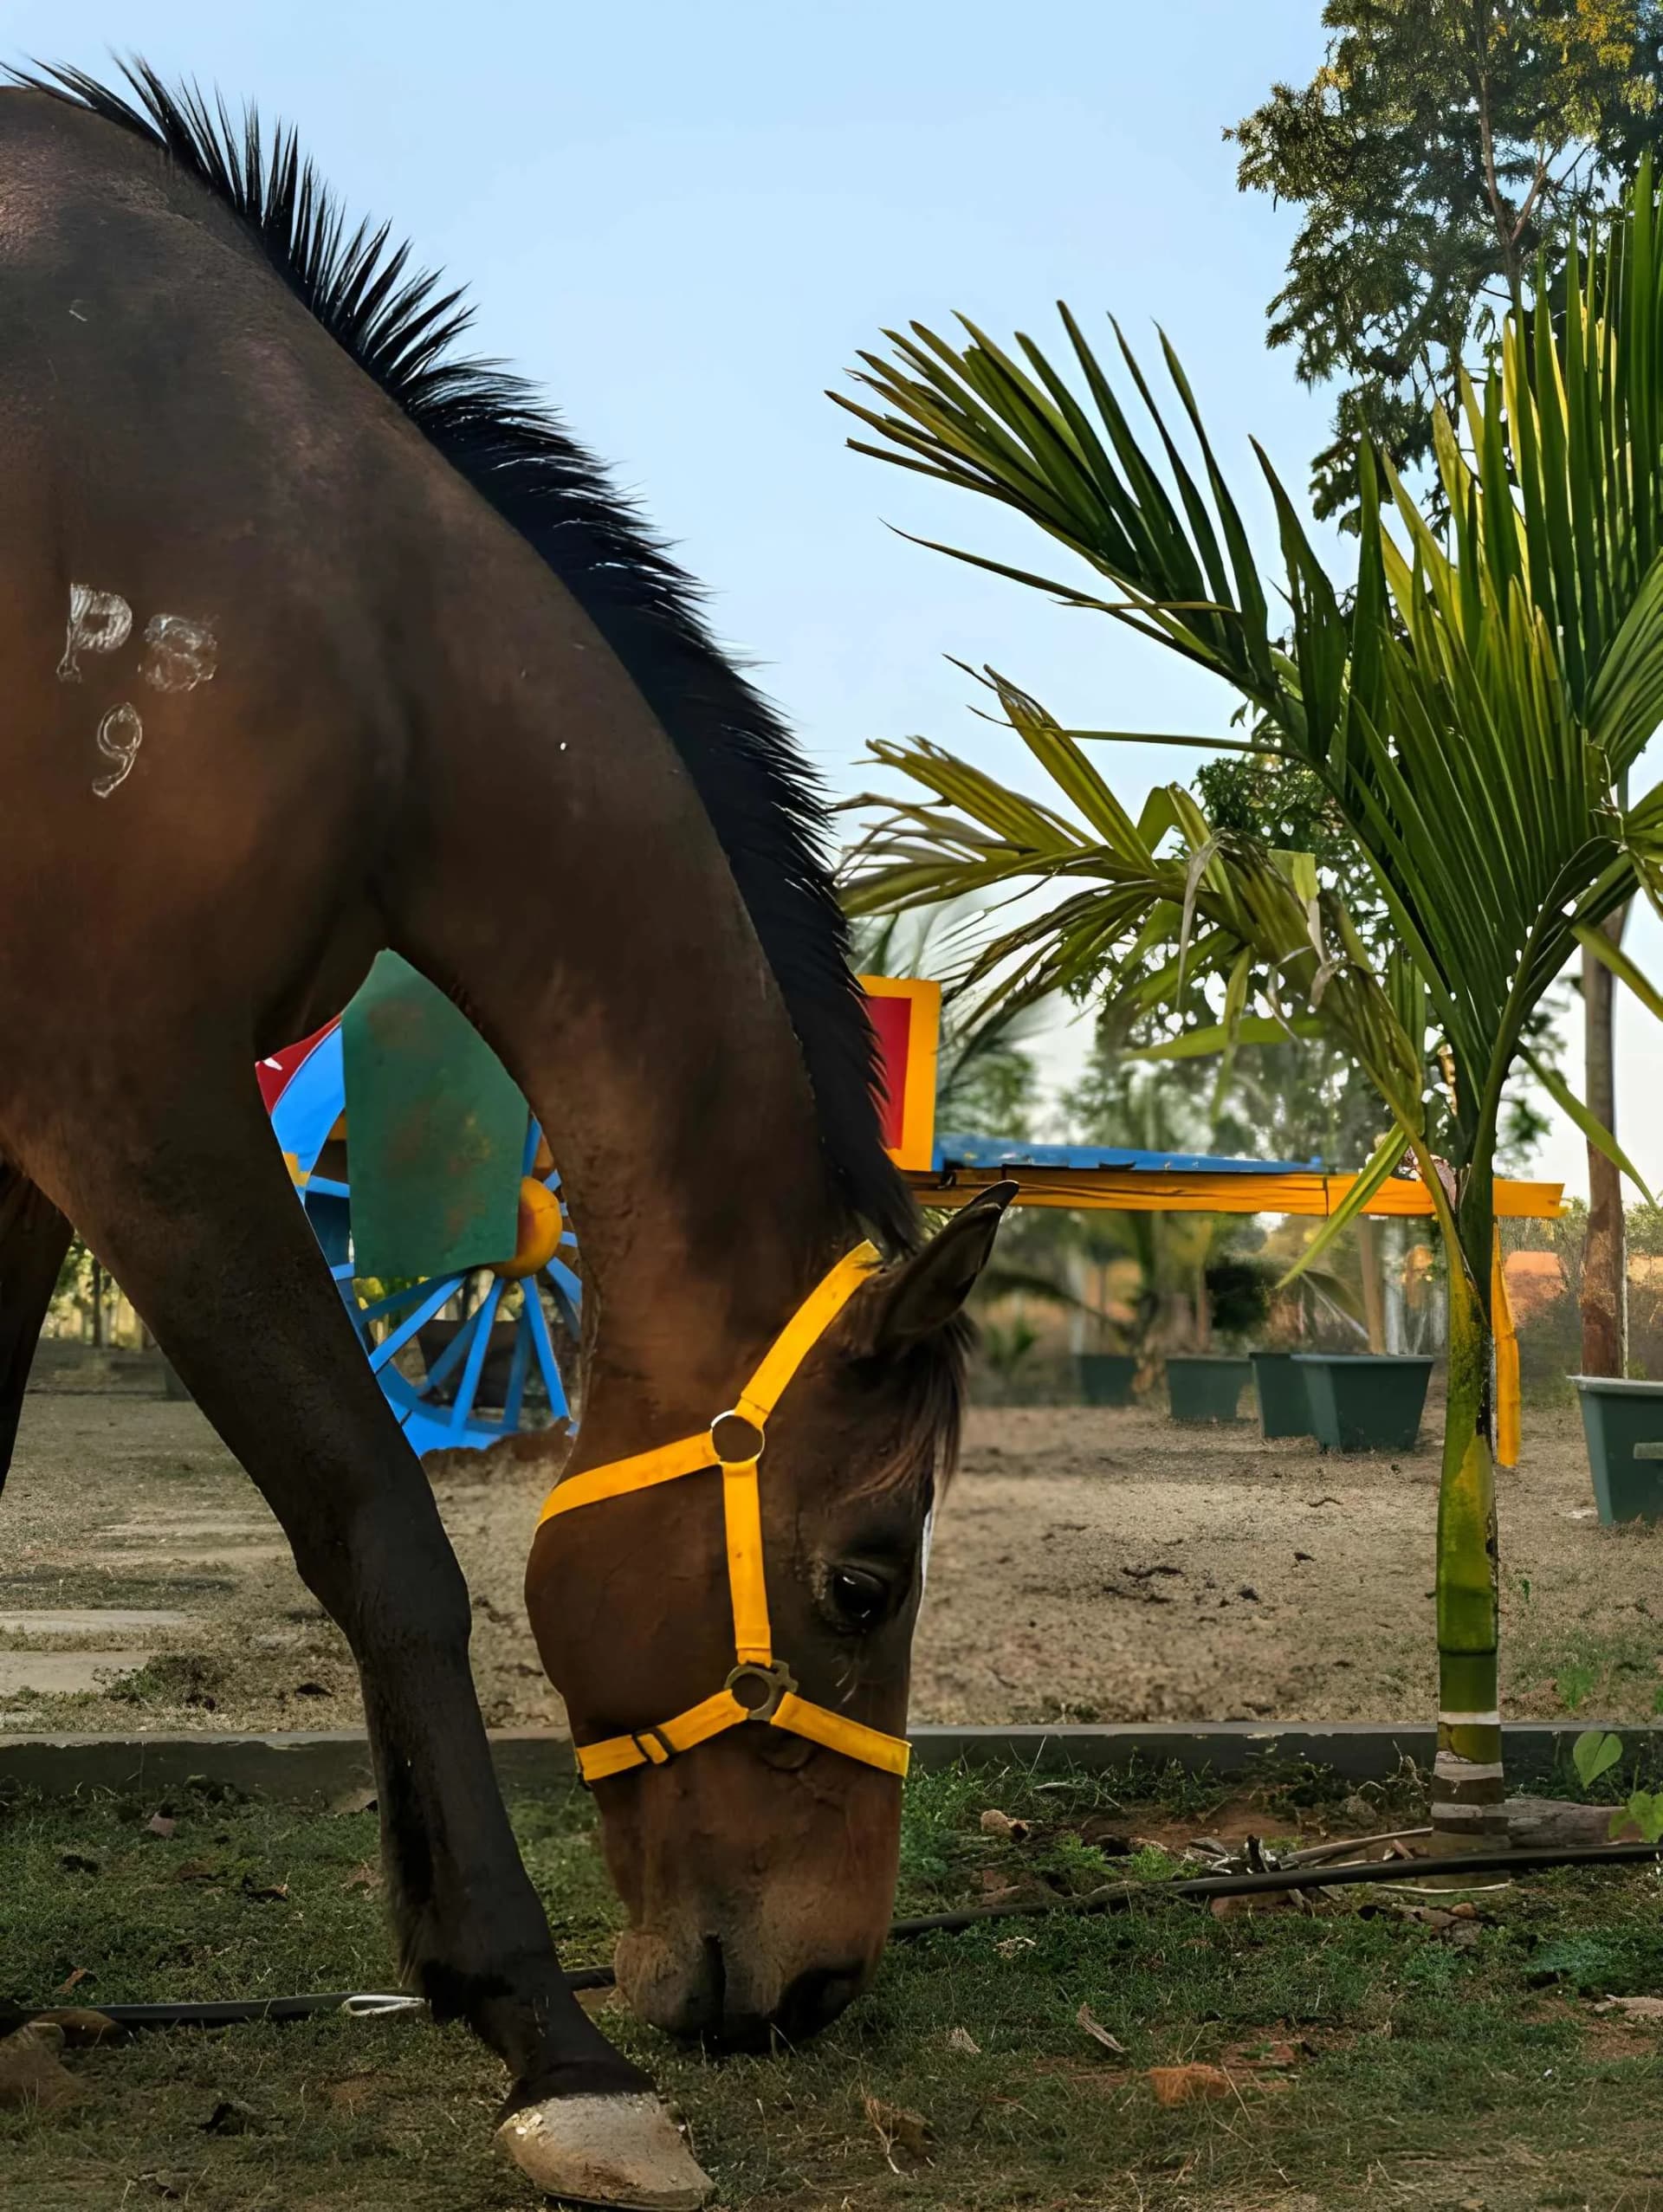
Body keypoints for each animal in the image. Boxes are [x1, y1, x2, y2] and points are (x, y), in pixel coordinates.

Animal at [0, 65, 1013, 2209]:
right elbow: (384, 1527)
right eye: (862, 1582)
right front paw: (541, 2033)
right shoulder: (142, 1099)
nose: (825, 1985)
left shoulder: (21, 1142)